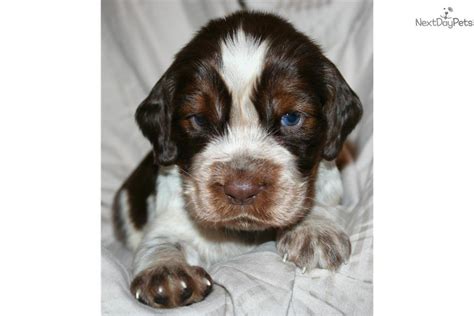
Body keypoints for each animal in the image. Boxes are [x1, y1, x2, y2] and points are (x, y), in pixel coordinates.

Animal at [112, 11, 362, 308]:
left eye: (291, 118)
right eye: (199, 119)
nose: (241, 190)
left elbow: (317, 198)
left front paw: (314, 230)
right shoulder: (171, 217)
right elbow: (162, 241)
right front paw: (166, 272)